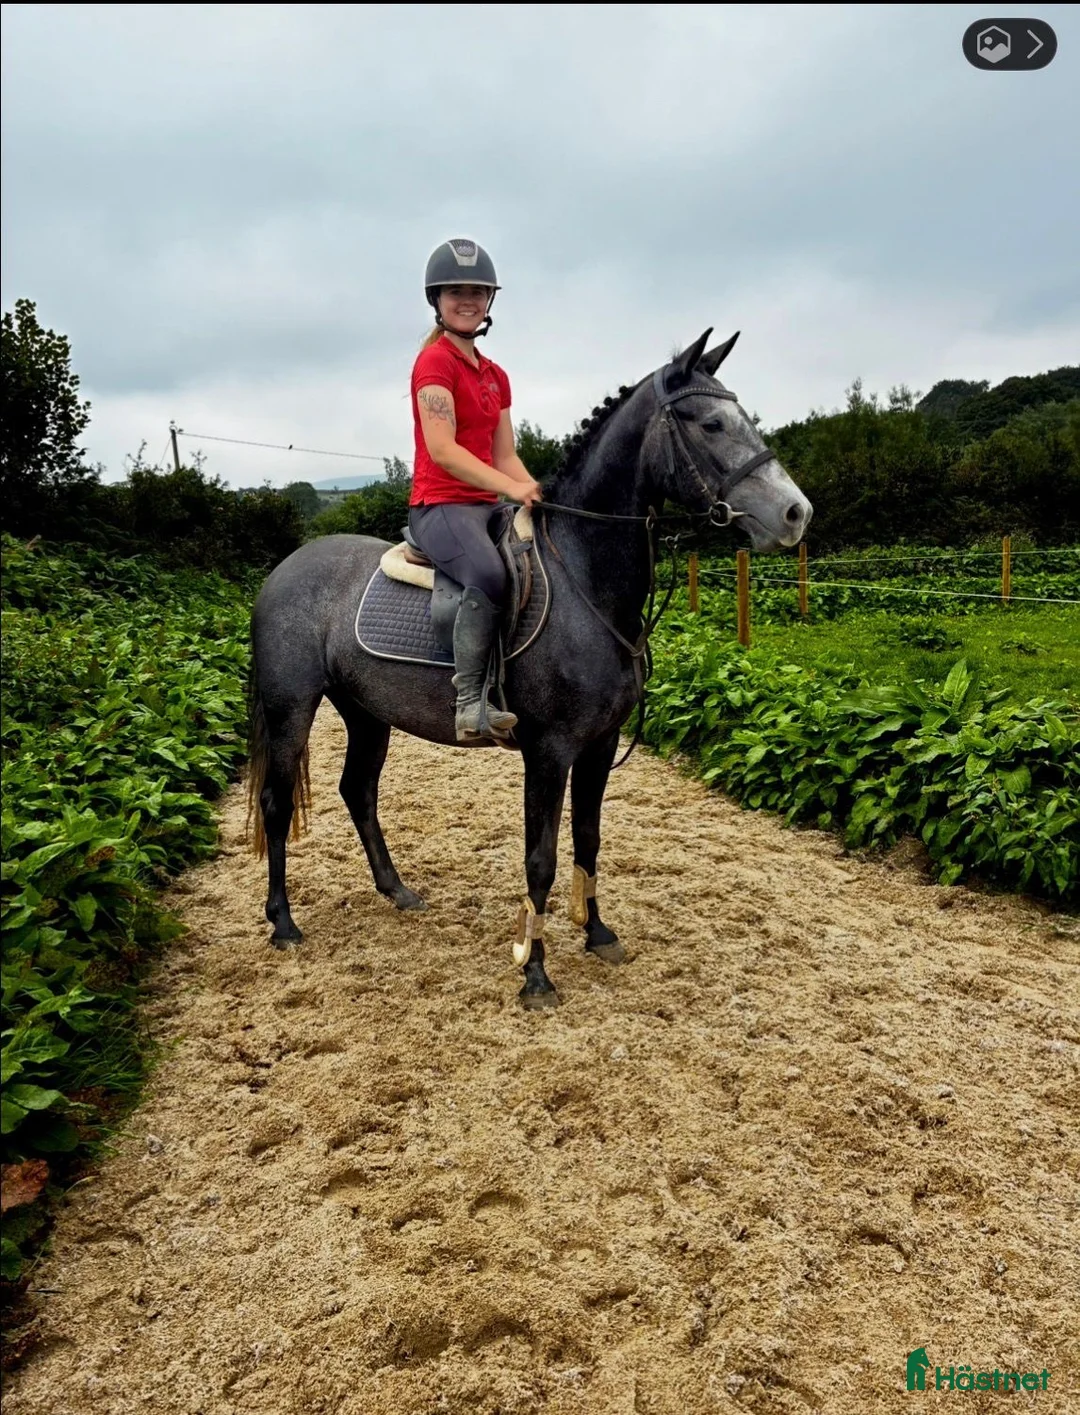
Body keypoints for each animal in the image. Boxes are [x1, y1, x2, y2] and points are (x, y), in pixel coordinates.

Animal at [246, 327, 812, 1008]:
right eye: (711, 422)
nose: (796, 513)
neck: (583, 578)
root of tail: (284, 568)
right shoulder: (549, 750)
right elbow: (539, 859)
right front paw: (535, 973)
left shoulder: (599, 745)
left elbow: (589, 841)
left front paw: (598, 934)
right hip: (291, 709)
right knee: (278, 803)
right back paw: (283, 922)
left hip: (366, 712)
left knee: (359, 790)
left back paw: (397, 891)